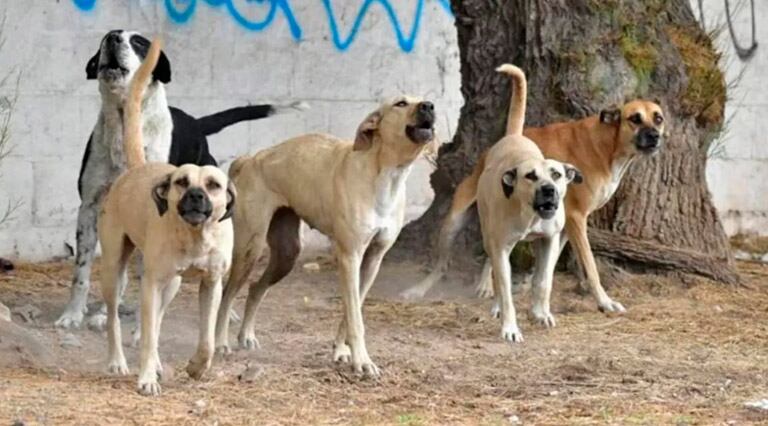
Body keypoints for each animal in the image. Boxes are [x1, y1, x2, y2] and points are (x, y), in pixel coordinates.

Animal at [56, 30, 306, 328]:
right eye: (105, 37)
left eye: (139, 43)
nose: (114, 38)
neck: (125, 125)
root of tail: (197, 123)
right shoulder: (90, 207)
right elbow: (82, 270)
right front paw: (73, 313)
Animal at [99, 40, 237, 396]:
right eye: (181, 182)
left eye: (214, 185)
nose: (196, 196)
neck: (194, 236)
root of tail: (137, 168)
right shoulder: (150, 283)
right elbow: (146, 337)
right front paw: (146, 378)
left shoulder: (212, 284)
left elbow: (207, 340)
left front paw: (198, 367)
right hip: (115, 269)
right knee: (115, 318)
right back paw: (117, 362)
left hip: (171, 285)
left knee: (158, 322)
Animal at [400, 91, 664, 316]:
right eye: (635, 118)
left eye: (658, 118)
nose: (655, 136)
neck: (608, 143)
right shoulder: (577, 219)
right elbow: (590, 266)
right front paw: (605, 302)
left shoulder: (563, 226)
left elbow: (550, 263)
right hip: (454, 221)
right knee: (442, 265)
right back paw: (419, 289)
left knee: (492, 252)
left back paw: (487, 285)